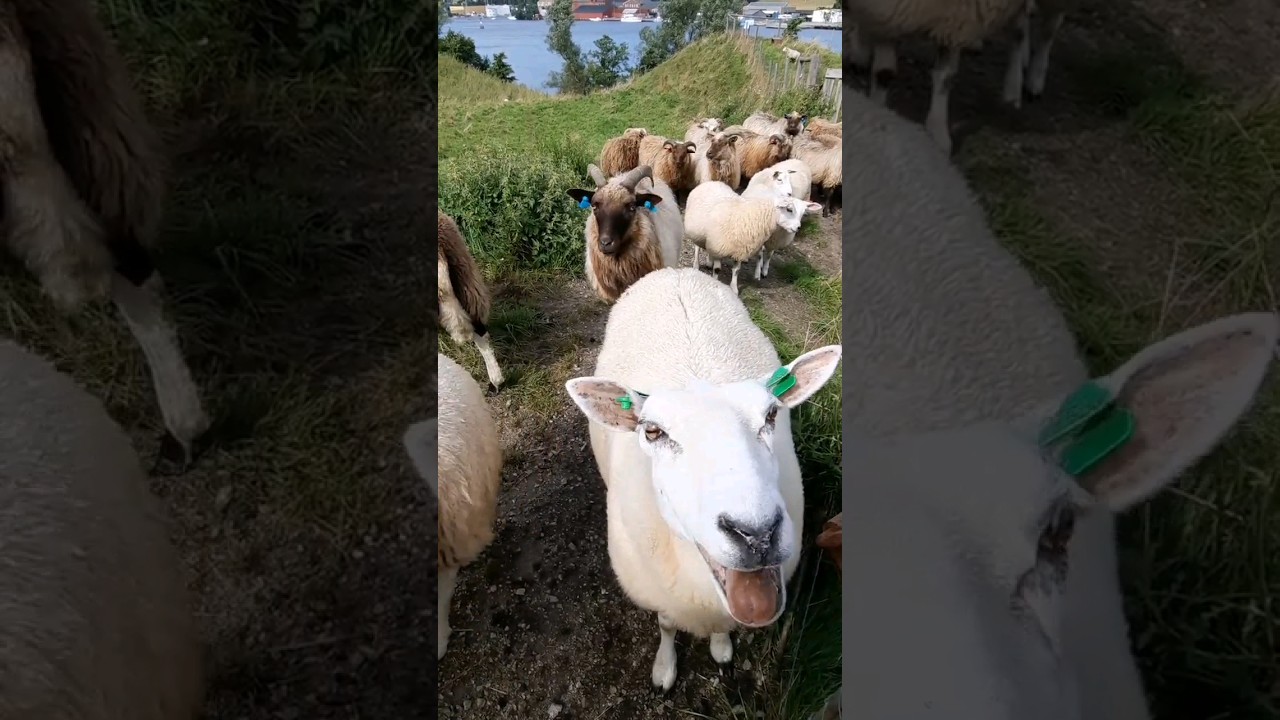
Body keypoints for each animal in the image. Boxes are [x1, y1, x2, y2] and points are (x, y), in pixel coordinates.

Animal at [563, 267, 843, 692]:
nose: (757, 535)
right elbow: (665, 625)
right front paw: (664, 668)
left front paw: (722, 647)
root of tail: (673, 271)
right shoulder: (663, 596)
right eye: (652, 432)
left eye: (771, 415)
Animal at [683, 180, 821, 294]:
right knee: (697, 248)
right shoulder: (719, 247)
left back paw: (709, 261)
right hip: (696, 231)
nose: (798, 228)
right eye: (789, 209)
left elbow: (736, 270)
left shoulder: (740, 249)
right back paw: (696, 265)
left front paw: (734, 289)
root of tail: (711, 182)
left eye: (803, 213)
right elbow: (717, 270)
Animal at [849, 0, 1029, 154]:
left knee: (1019, 33)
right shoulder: (885, 16)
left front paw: (938, 135)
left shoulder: (959, 22)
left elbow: (945, 78)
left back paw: (1013, 92)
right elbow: (884, 73)